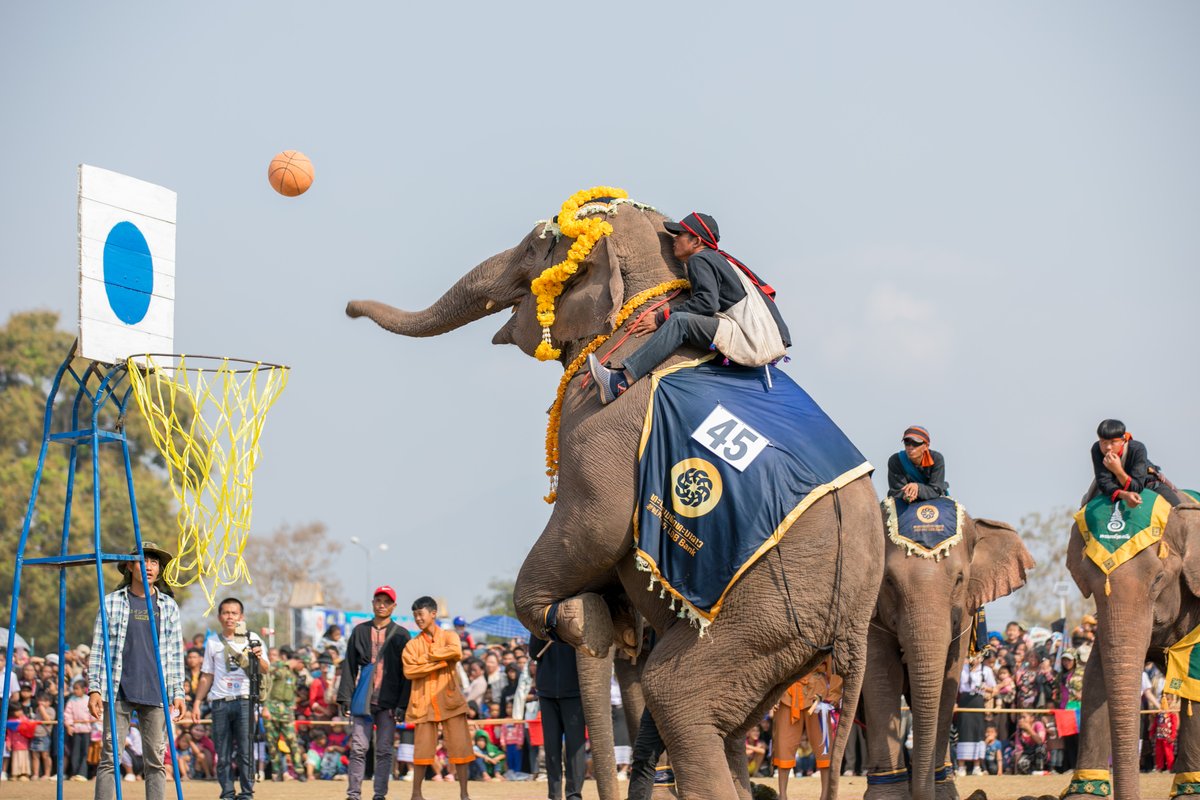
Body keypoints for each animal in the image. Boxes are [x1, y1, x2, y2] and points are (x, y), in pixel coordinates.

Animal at [343, 195, 888, 800]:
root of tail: (852, 626)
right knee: (727, 720)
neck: (654, 291)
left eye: (536, 247)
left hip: (762, 617)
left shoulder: (600, 425)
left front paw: (579, 617)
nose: (347, 310)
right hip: (783, 643)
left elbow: (594, 526)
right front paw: (611, 621)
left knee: (678, 695)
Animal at [864, 501, 1032, 800]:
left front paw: (943, 793)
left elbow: (948, 680)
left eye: (959, 580)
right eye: (889, 582)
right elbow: (882, 678)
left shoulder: (964, 615)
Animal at [1065, 494, 1200, 800]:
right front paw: (1083, 794)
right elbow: (1096, 677)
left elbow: (1195, 682)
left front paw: (1190, 794)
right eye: (1087, 583)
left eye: (1158, 579)